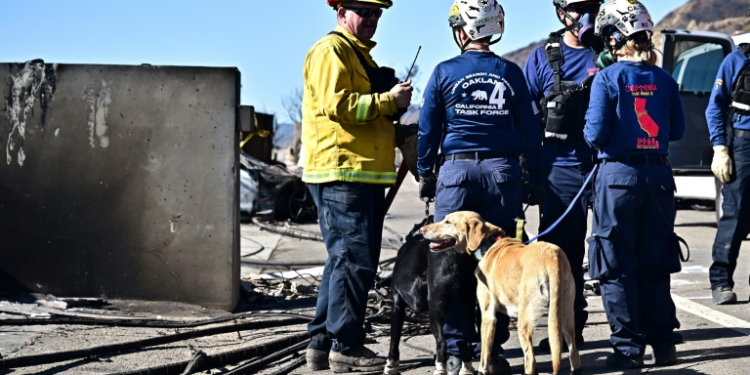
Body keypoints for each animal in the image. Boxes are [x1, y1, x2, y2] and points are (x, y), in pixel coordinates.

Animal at [420, 212, 584, 375]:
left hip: (525, 322)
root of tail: (552, 257)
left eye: (448, 222)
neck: (488, 244)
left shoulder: (488, 316)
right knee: (574, 353)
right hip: (565, 317)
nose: (422, 229)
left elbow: (485, 354)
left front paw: (483, 370)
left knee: (531, 360)